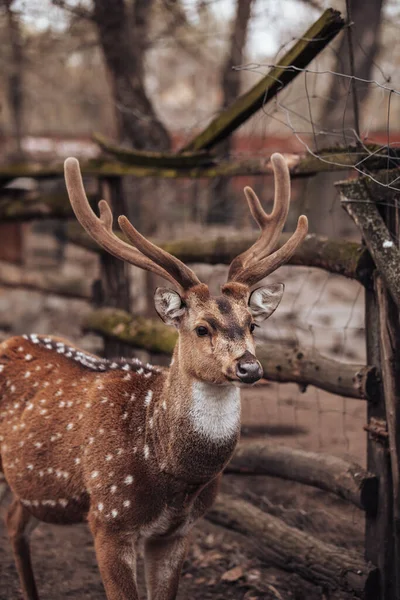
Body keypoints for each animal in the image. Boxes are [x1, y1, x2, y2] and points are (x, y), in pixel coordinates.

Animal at [0, 155, 308, 600]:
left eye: (253, 324)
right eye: (201, 328)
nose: (249, 368)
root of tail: (10, 339)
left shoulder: (178, 532)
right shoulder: (108, 519)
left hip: (34, 489)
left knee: (14, 521)